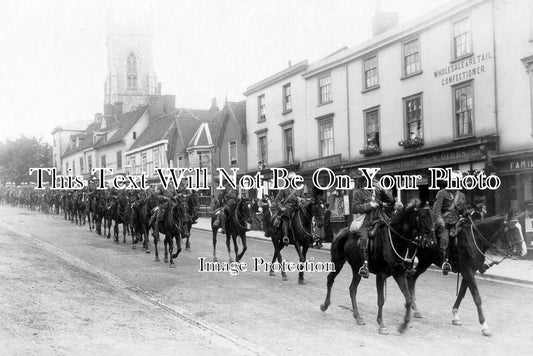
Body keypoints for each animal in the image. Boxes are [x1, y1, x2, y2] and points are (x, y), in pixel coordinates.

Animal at [318, 202, 434, 336]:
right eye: (422, 216)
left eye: (432, 216)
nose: (432, 241)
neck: (395, 240)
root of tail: (340, 232)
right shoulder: (381, 275)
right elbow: (381, 300)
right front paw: (381, 324)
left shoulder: (399, 274)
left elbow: (409, 299)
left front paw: (403, 325)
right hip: (337, 262)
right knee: (330, 279)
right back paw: (325, 305)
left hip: (356, 269)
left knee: (352, 289)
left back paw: (358, 317)